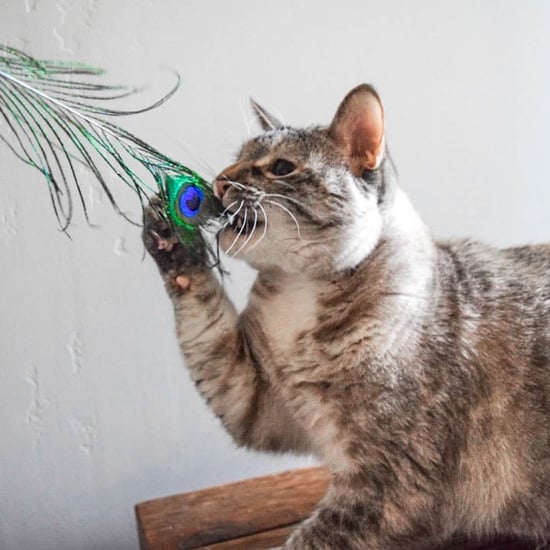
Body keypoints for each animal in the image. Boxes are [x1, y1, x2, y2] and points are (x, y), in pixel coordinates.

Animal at [141, 84, 550, 548]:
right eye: (237, 157)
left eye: (281, 168)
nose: (219, 181)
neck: (298, 293)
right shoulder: (253, 397)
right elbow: (203, 320)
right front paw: (170, 230)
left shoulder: (387, 485)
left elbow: (301, 543)